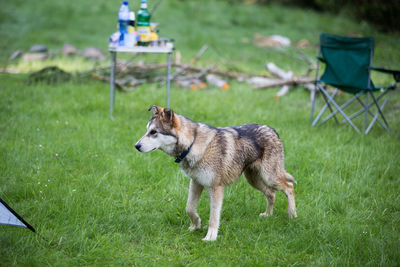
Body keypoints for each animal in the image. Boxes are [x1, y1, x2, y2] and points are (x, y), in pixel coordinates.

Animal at [136, 105, 296, 242]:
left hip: (269, 177)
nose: (136, 146)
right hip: (254, 180)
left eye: (153, 132)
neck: (193, 144)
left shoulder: (215, 188)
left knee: (289, 187)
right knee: (271, 193)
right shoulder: (196, 183)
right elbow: (189, 208)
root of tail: (272, 130)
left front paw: (210, 237)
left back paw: (292, 215)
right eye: (146, 131)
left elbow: (213, 217)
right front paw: (195, 225)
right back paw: (268, 215)